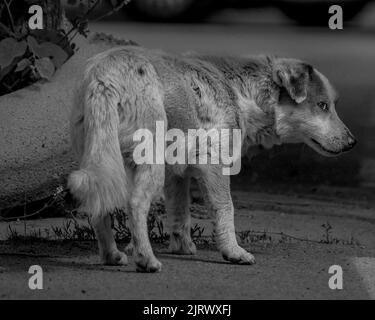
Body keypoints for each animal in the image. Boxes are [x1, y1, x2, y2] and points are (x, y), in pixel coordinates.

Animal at [68, 45, 358, 272]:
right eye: (322, 105)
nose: (352, 143)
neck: (240, 92)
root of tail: (105, 76)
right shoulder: (213, 164)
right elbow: (225, 208)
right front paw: (234, 252)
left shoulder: (177, 174)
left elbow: (180, 212)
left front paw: (182, 247)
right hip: (148, 163)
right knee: (135, 203)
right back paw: (146, 260)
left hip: (106, 159)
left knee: (100, 207)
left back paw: (112, 255)